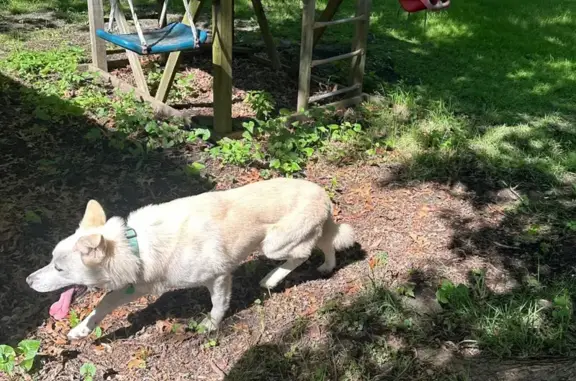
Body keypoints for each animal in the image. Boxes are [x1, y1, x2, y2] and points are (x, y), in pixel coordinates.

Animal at [27, 177, 356, 340]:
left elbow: (218, 305)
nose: (28, 281)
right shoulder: (132, 288)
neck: (135, 247)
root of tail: (323, 194)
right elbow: (101, 307)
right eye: (51, 260)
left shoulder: (219, 276)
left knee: (303, 252)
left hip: (273, 245)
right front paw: (80, 331)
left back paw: (271, 278)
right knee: (325, 241)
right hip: (301, 235)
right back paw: (327, 266)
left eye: (59, 267)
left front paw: (210, 326)